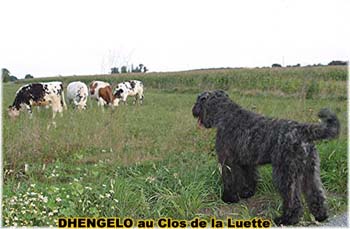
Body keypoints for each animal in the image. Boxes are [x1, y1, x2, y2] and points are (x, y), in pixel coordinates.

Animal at [193, 90, 340, 225]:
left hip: (285, 174)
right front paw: (247, 193)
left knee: (293, 200)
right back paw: (321, 215)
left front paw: (229, 198)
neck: (225, 113)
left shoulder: (227, 161)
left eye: (198, 101)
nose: (193, 110)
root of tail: (303, 130)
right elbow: (249, 178)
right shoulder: (247, 162)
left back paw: (287, 219)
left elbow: (229, 180)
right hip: (310, 171)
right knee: (316, 193)